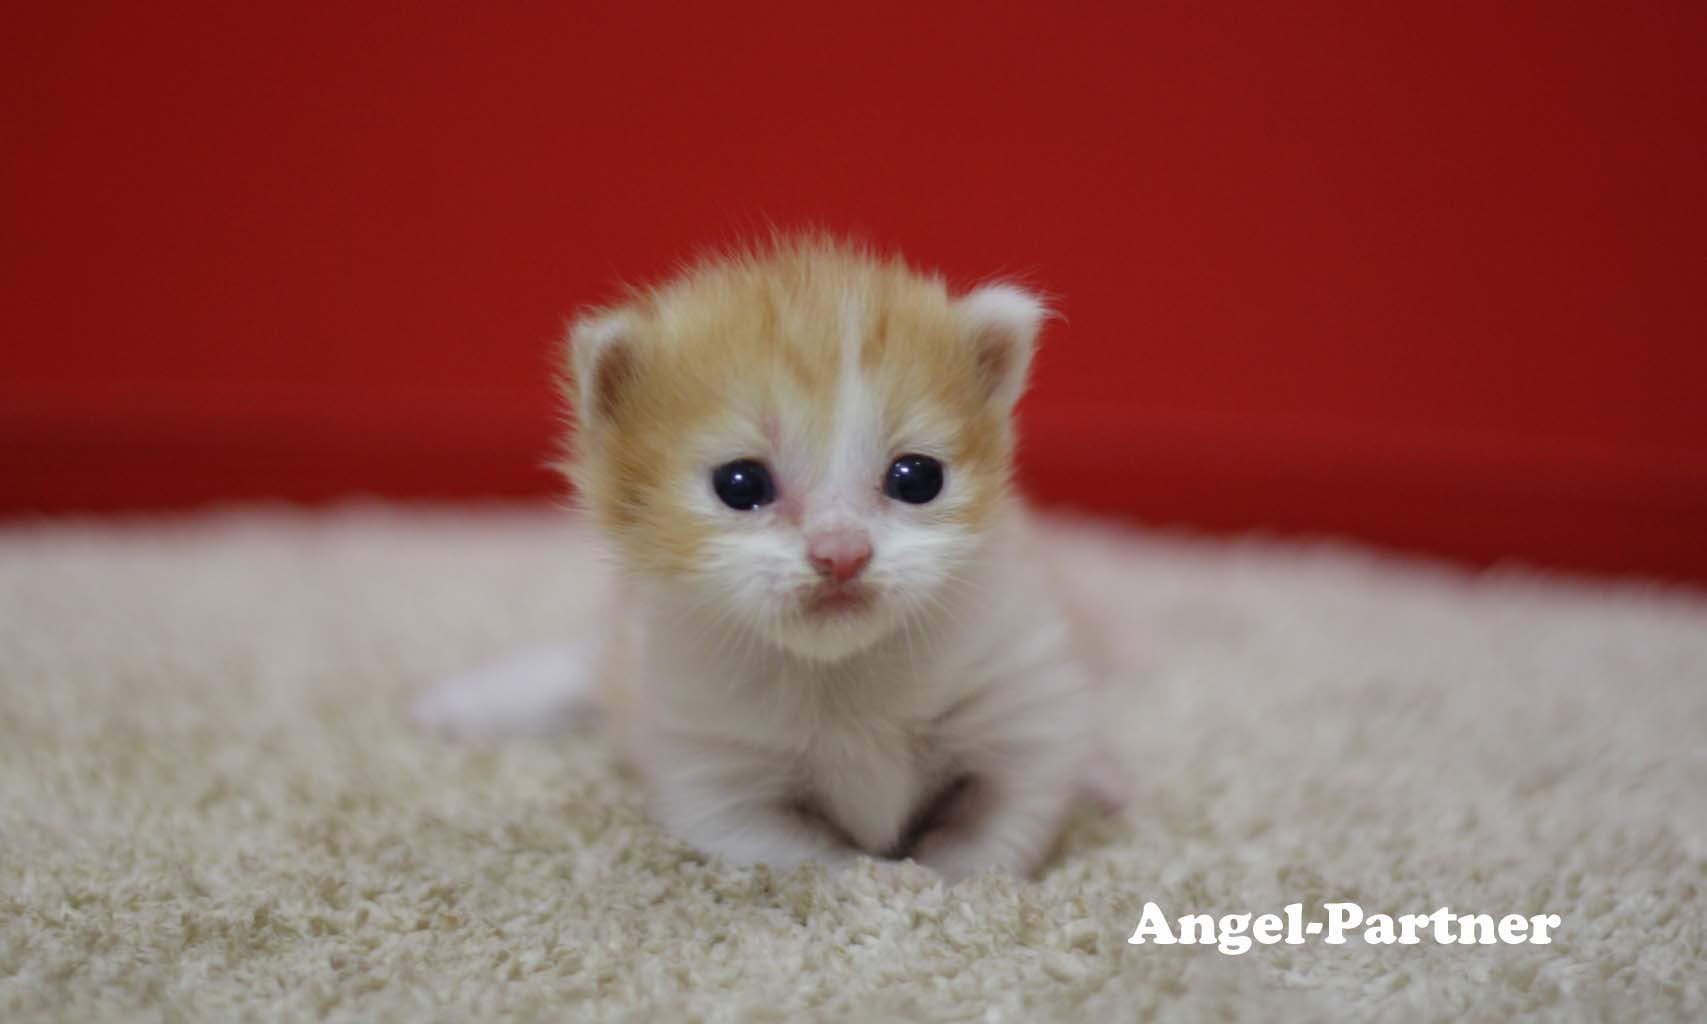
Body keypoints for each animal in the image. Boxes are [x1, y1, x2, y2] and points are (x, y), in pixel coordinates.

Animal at [416, 237, 1119, 880]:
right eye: (741, 484)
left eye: (917, 477)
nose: (842, 554)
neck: (842, 675)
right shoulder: (716, 778)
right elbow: (812, 861)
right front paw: (883, 883)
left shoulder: (1020, 703)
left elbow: (996, 835)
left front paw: (941, 877)